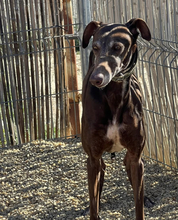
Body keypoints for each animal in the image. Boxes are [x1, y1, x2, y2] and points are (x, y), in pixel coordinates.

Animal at [81, 18, 151, 219]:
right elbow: (94, 206)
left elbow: (138, 205)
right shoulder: (93, 157)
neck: (114, 98)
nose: (96, 79)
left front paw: (142, 200)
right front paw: (93, 207)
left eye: (117, 47)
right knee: (101, 169)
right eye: (95, 47)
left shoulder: (136, 156)